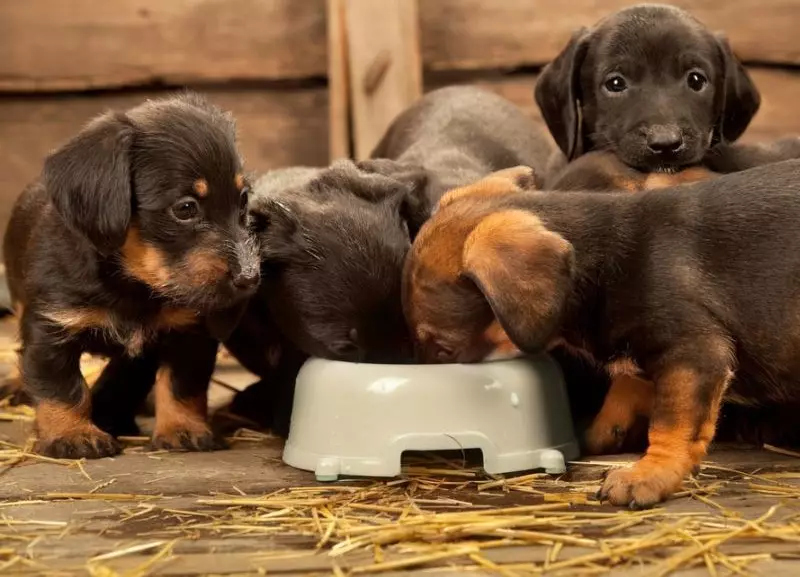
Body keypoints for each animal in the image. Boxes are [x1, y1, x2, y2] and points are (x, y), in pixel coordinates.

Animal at [3, 92, 260, 456]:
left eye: (243, 201)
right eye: (185, 208)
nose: (249, 279)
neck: (132, 284)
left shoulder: (189, 333)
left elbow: (181, 385)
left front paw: (183, 428)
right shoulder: (51, 328)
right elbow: (62, 386)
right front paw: (73, 434)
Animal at [404, 160, 800, 506]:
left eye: (443, 349)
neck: (601, 259)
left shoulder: (693, 355)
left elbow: (671, 423)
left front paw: (648, 475)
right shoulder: (641, 360)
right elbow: (621, 397)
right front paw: (596, 434)